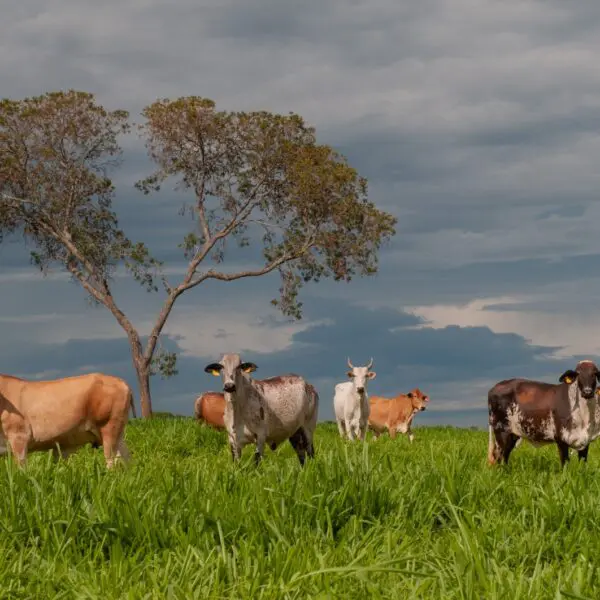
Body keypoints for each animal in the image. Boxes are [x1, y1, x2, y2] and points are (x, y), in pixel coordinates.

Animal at [0, 370, 135, 468]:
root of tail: (121, 382)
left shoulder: (19, 437)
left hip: (108, 429)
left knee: (112, 462)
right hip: (118, 434)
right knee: (125, 460)